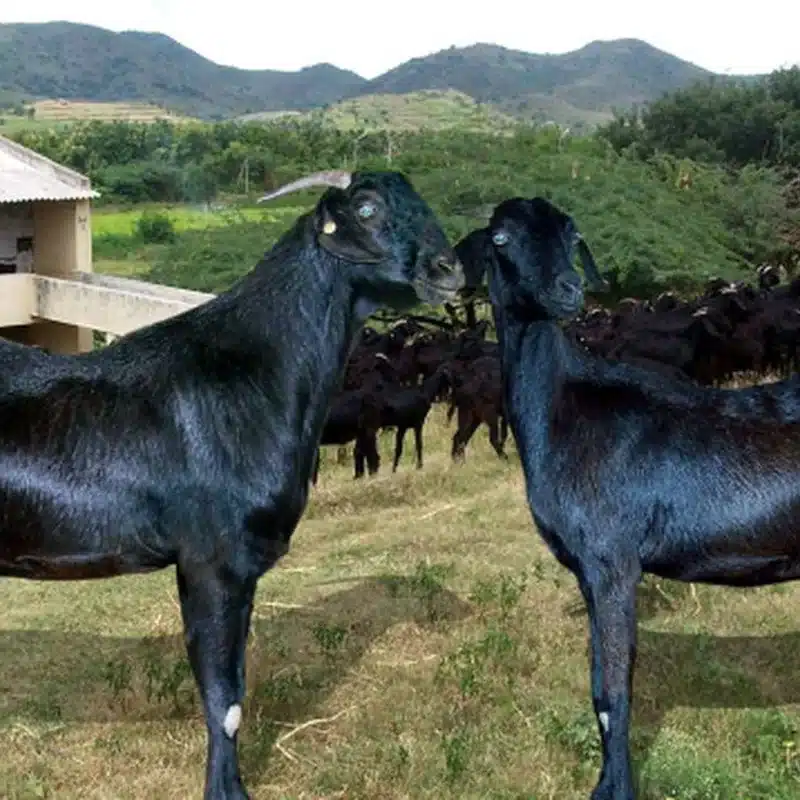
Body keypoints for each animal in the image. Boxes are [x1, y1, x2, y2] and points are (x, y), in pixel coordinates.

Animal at [0, 169, 464, 800]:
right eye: (367, 208)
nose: (449, 268)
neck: (252, 374)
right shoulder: (213, 561)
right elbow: (225, 700)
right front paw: (228, 791)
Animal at [474, 195, 800, 799]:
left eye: (572, 234)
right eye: (501, 237)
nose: (568, 288)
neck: (565, 406)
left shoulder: (612, 559)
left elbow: (612, 693)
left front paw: (617, 788)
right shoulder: (588, 570)